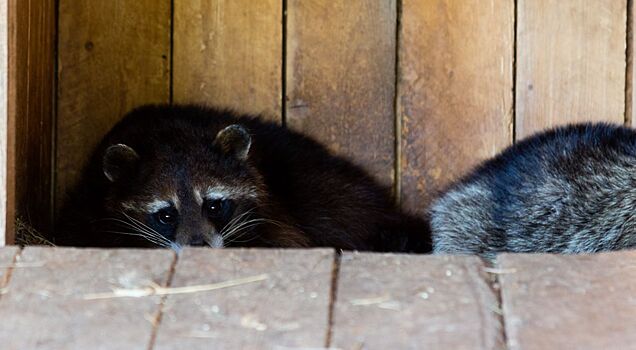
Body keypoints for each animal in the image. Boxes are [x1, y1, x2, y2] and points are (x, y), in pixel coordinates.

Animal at [56, 104, 432, 252]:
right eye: (166, 214)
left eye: (213, 206)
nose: (199, 246)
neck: (168, 136)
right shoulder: (85, 207)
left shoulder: (277, 212)